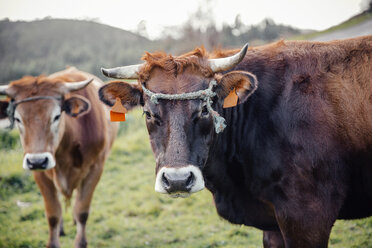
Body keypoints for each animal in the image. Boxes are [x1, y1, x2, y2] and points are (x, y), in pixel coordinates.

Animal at [0, 67, 117, 247]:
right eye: (18, 119)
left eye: (56, 116)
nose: (37, 161)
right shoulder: (40, 174)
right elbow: (53, 214)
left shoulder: (95, 169)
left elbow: (82, 211)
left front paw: (80, 241)